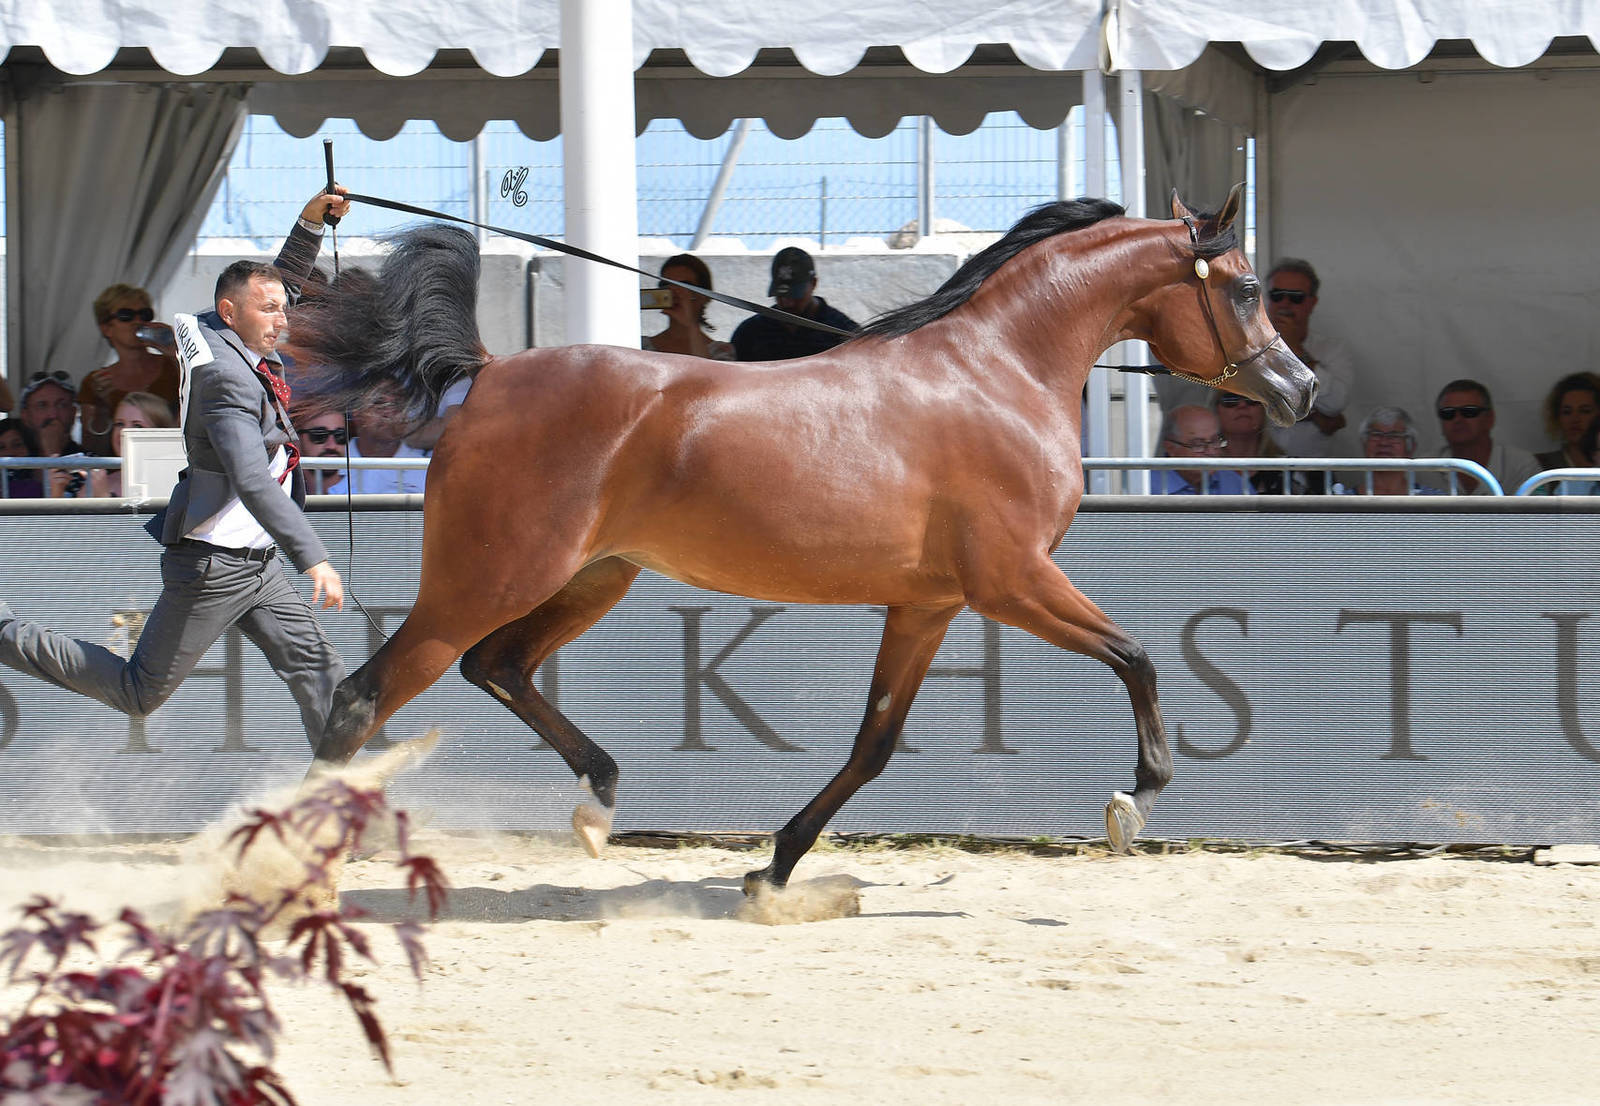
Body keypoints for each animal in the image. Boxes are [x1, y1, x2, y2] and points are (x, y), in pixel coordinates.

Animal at [286, 185, 1315, 892]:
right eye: (1248, 287)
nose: (1299, 389)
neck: (998, 372)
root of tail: (489, 377)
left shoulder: (929, 606)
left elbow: (874, 745)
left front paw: (773, 869)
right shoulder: (1013, 582)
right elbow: (1138, 656)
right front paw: (1133, 803)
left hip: (591, 578)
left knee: (496, 666)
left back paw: (598, 802)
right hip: (486, 581)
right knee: (363, 696)